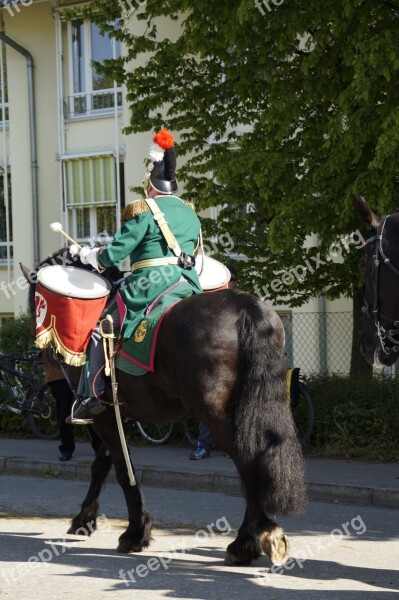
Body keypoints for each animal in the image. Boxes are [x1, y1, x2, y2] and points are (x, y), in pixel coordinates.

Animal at [23, 248, 308, 568]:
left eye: (35, 302)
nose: (45, 355)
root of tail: (245, 306)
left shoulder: (105, 414)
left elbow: (122, 469)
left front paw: (135, 533)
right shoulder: (115, 414)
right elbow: (102, 465)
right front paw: (85, 520)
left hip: (217, 416)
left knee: (249, 461)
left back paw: (246, 542)